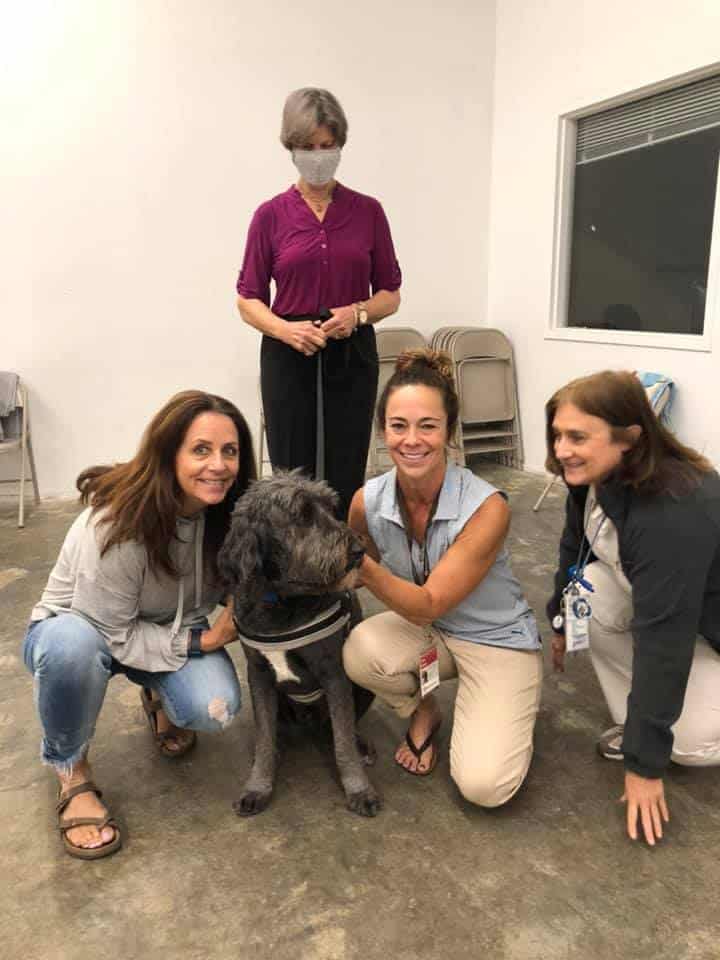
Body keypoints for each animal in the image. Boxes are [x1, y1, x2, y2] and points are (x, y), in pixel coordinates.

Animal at [217, 472, 380, 816]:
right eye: (302, 515)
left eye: (331, 507)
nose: (359, 550)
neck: (281, 600)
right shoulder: (258, 675)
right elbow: (265, 736)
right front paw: (257, 786)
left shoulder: (335, 674)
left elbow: (342, 741)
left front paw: (359, 789)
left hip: (363, 687)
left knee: (342, 728)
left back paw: (361, 744)